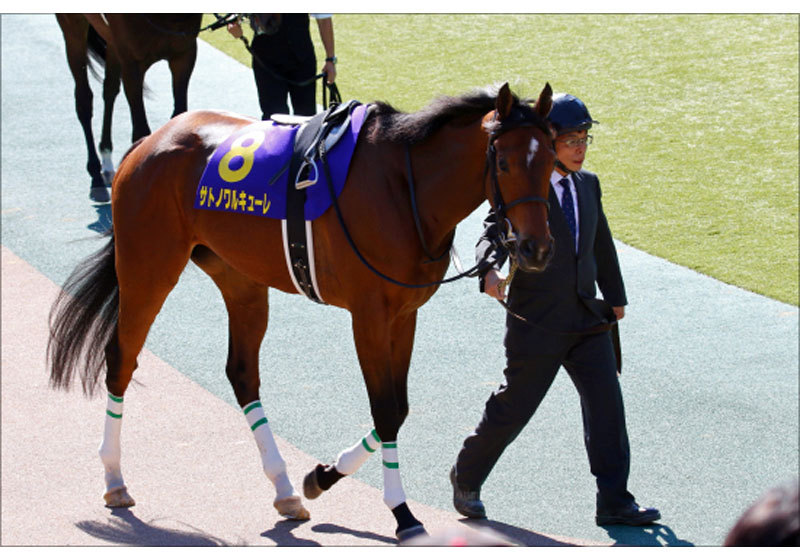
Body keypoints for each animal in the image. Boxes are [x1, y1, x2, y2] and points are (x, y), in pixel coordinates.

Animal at [47, 82, 555, 542]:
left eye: (551, 161)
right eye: (504, 162)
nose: (535, 249)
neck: (404, 189)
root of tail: (149, 141)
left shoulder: (404, 314)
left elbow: (398, 408)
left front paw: (322, 476)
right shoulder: (369, 315)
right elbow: (386, 411)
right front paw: (401, 512)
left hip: (241, 279)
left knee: (242, 373)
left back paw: (285, 489)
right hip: (148, 267)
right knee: (121, 358)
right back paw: (114, 479)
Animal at [56, 14, 202, 202]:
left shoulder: (184, 54)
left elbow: (180, 117)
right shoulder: (132, 64)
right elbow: (141, 131)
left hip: (111, 42)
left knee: (109, 89)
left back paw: (107, 159)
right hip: (73, 28)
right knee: (84, 100)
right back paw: (96, 176)